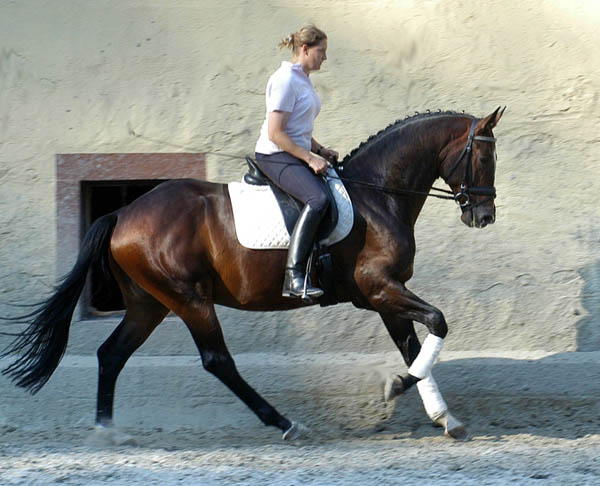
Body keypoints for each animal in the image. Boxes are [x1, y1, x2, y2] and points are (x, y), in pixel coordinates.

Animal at [2, 108, 504, 442]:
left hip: (149, 303)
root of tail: (124, 213)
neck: (377, 196)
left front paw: (444, 417)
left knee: (111, 354)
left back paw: (106, 429)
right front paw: (398, 386)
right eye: (484, 158)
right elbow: (437, 324)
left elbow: (414, 347)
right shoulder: (380, 288)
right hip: (189, 299)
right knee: (217, 361)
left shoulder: (384, 296)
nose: (483, 216)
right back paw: (284, 423)